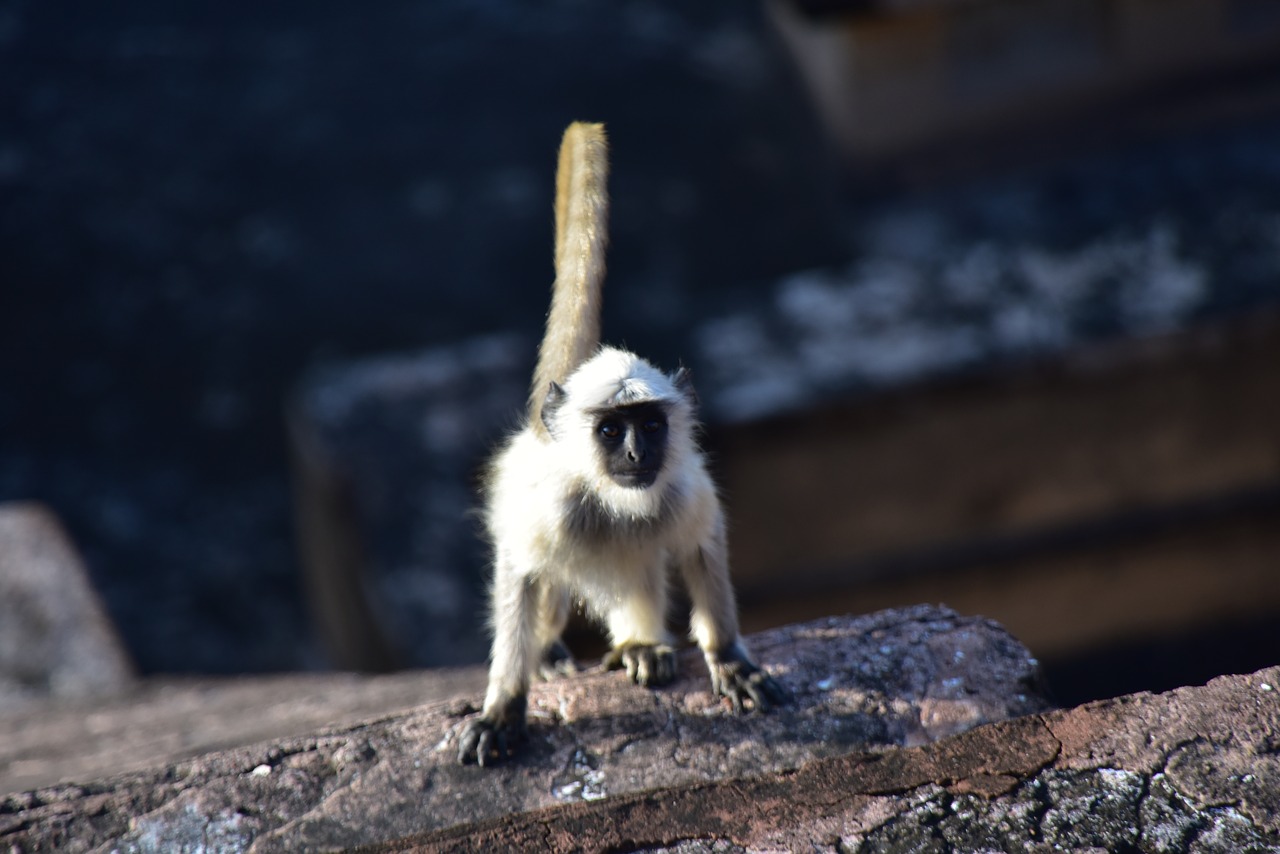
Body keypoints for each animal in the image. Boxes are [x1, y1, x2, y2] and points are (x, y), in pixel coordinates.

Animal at [455, 120, 783, 768]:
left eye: (650, 425)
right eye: (611, 429)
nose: (635, 454)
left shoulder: (682, 489)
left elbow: (702, 546)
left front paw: (728, 655)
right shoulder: (547, 509)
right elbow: (520, 577)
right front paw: (504, 704)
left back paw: (639, 644)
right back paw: (556, 654)